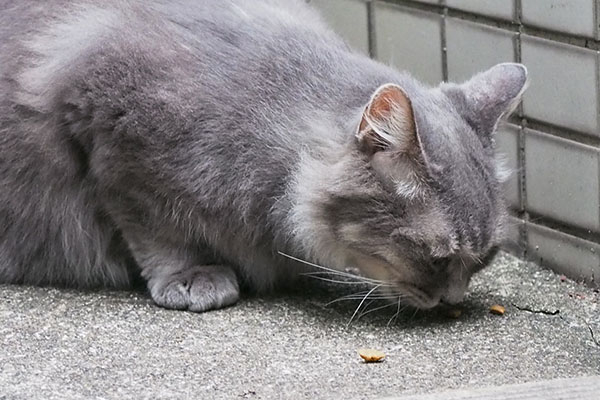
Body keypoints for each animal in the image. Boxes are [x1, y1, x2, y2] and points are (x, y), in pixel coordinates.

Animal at [0, 0, 524, 312]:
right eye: (436, 259)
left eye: (485, 259)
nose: (453, 301)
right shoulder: (112, 139)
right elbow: (157, 232)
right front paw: (193, 277)